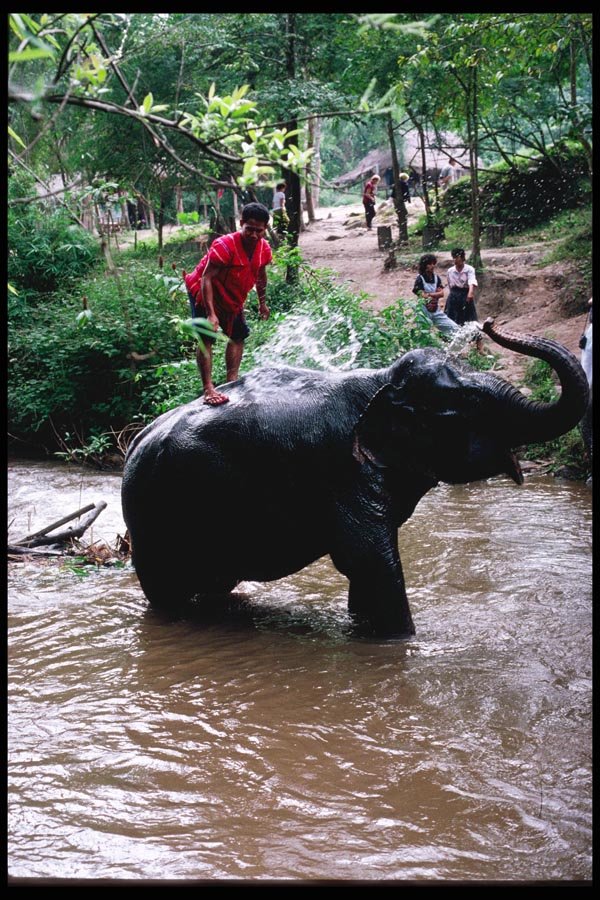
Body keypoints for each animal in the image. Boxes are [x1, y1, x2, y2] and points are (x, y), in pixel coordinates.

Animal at [121, 318, 589, 637]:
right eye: (469, 403)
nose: (488, 324)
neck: (380, 382)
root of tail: (135, 442)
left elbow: (367, 568)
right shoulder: (342, 472)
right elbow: (368, 558)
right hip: (156, 521)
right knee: (171, 595)